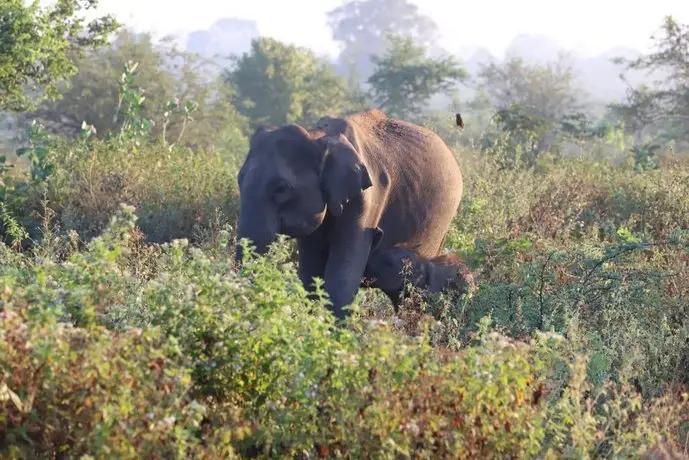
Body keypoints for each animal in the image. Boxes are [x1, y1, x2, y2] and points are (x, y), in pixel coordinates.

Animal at [234, 108, 464, 318]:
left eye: (281, 189)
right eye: (239, 179)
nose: (379, 234)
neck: (318, 136)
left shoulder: (368, 199)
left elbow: (343, 272)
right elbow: (311, 271)